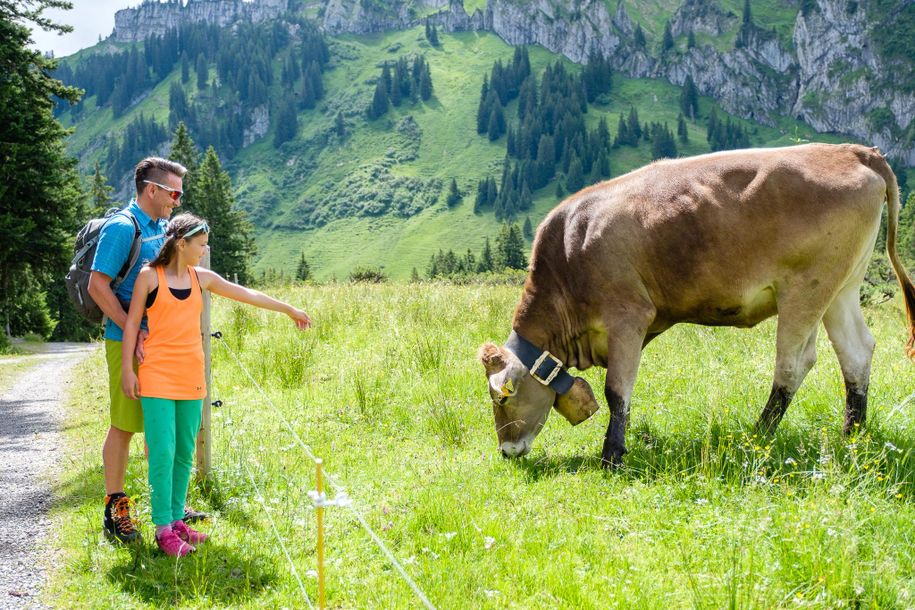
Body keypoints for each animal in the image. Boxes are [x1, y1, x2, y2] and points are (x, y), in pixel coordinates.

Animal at [480, 142, 915, 466]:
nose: (506, 451)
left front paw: (612, 455)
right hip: (843, 287)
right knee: (856, 352)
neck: (570, 252)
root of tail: (852, 150)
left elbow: (617, 391)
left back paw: (757, 436)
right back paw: (852, 434)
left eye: (502, 396)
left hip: (808, 287)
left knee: (794, 363)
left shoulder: (628, 318)